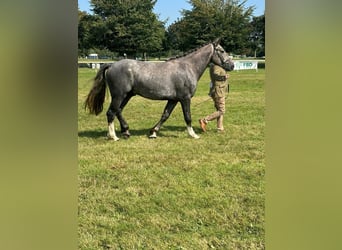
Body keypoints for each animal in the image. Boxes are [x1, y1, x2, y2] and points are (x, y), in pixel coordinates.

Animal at [84, 39, 234, 141]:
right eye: (222, 51)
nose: (232, 65)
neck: (187, 67)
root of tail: (111, 65)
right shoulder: (185, 98)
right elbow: (187, 116)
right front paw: (193, 134)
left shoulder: (173, 100)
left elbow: (165, 115)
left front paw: (153, 132)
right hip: (119, 95)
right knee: (111, 112)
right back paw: (113, 136)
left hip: (127, 95)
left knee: (118, 111)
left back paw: (125, 131)